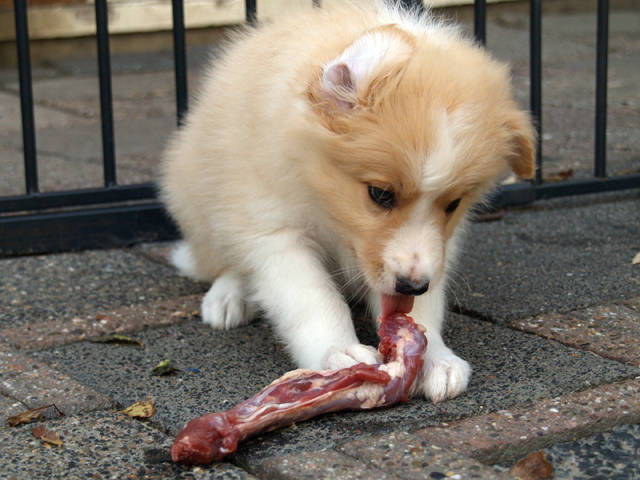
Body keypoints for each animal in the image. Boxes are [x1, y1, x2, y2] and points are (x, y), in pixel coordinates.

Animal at [160, 0, 535, 402]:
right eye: (380, 194)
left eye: (453, 204)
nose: (413, 285)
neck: (320, 200)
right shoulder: (274, 229)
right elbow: (312, 298)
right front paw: (338, 352)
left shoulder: (436, 248)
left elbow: (418, 309)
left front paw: (435, 356)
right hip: (199, 196)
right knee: (223, 259)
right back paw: (228, 297)